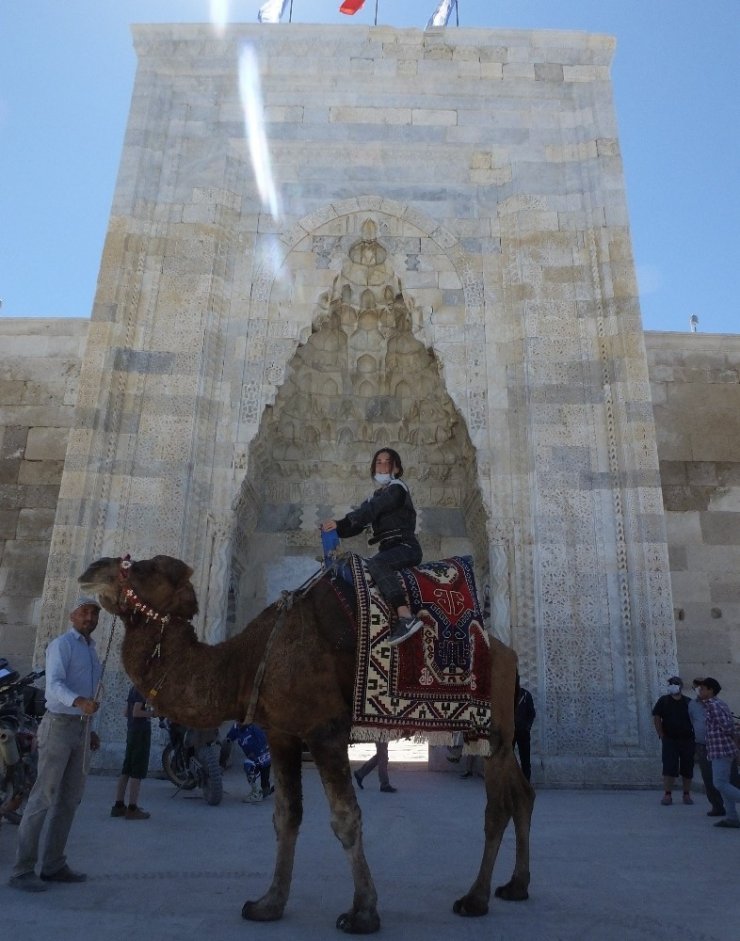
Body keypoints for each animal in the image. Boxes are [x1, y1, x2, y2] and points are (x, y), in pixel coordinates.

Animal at [79, 556, 532, 928]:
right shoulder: (281, 733)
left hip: (492, 729)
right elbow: (286, 816)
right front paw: (268, 904)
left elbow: (346, 818)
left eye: (145, 568)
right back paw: (515, 887)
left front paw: (363, 912)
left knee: (497, 807)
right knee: (521, 795)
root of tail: (507, 654)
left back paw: (475, 899)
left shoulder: (324, 730)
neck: (246, 660)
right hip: (498, 731)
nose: (90, 571)